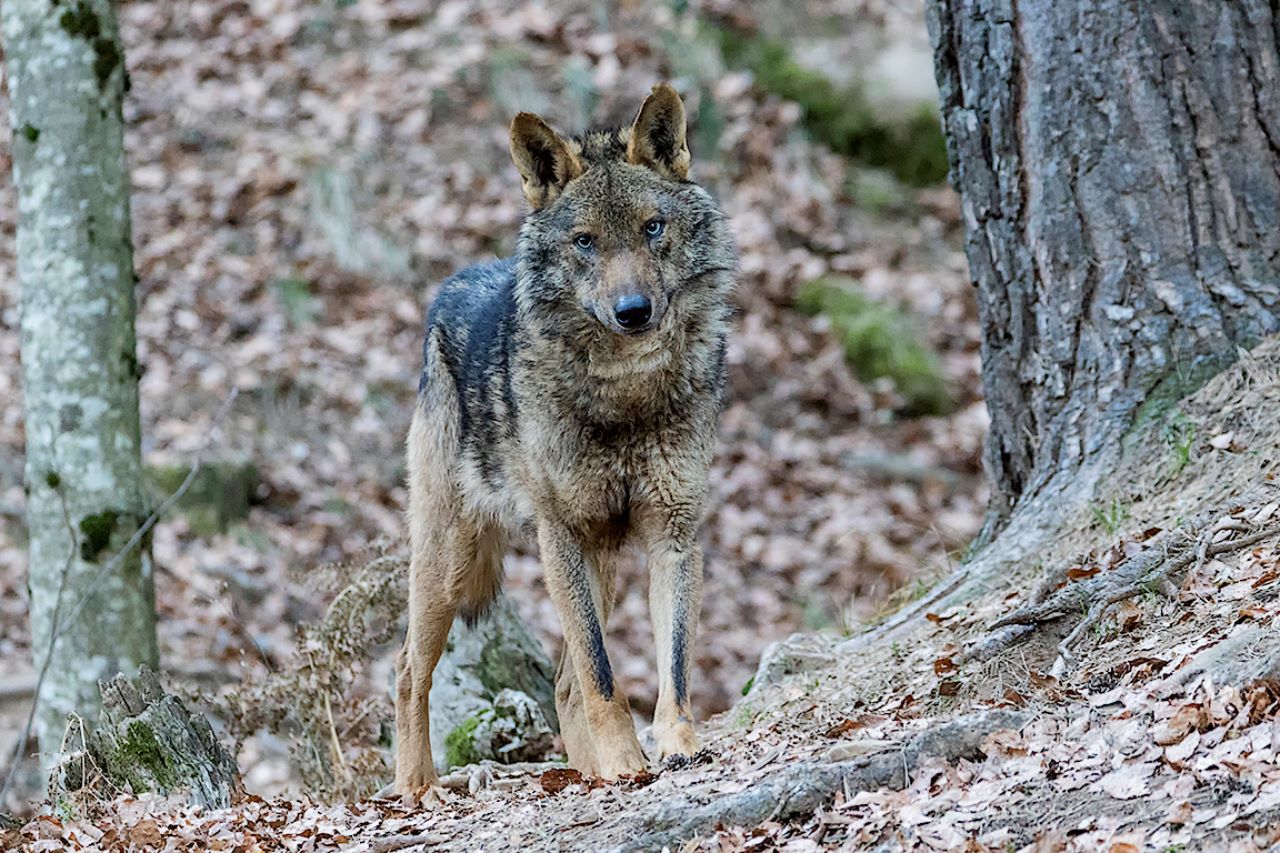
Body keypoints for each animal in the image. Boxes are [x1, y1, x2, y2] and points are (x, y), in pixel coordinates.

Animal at [394, 84, 737, 792]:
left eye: (652, 228)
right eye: (585, 241)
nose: (633, 311)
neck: (626, 392)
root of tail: (449, 286)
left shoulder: (674, 532)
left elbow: (672, 665)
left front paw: (676, 746)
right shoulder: (562, 533)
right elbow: (603, 675)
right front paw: (626, 762)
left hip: (595, 563)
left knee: (563, 684)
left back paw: (585, 772)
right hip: (450, 562)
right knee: (410, 668)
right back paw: (417, 789)